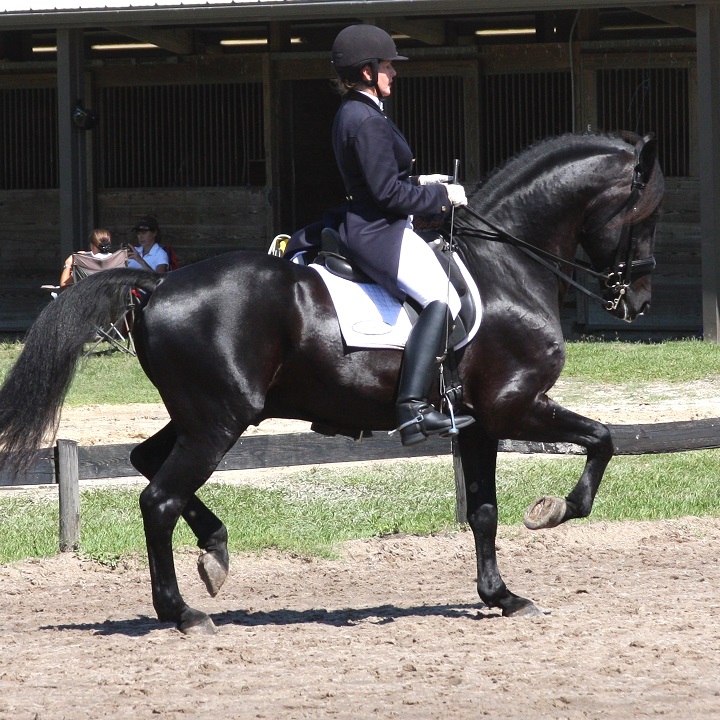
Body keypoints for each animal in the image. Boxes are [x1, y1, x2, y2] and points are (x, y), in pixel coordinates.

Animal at [0, 132, 664, 632]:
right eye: (648, 214)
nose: (638, 298)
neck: (506, 266)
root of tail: (156, 283)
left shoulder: (476, 421)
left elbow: (482, 510)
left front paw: (502, 595)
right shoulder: (514, 405)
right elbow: (603, 439)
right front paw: (553, 511)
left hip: (203, 416)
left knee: (145, 462)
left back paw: (215, 550)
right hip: (219, 421)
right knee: (158, 499)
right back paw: (183, 612)